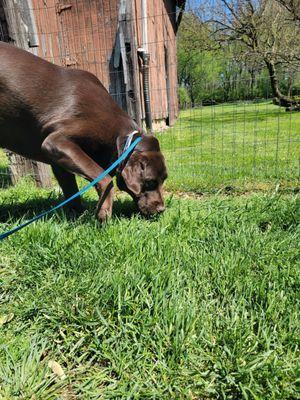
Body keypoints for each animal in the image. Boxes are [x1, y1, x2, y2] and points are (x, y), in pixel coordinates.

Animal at [0, 42, 166, 220]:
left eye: (164, 179)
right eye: (150, 181)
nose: (162, 209)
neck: (120, 138)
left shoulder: (59, 161)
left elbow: (72, 193)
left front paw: (76, 218)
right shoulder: (55, 142)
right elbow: (105, 178)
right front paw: (103, 213)